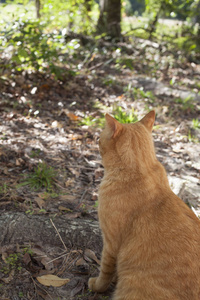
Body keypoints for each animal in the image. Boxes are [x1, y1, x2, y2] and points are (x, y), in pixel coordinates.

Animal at [89, 110, 200, 300]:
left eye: (99, 140)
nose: (95, 140)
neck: (142, 169)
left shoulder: (111, 243)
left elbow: (105, 272)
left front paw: (96, 285)